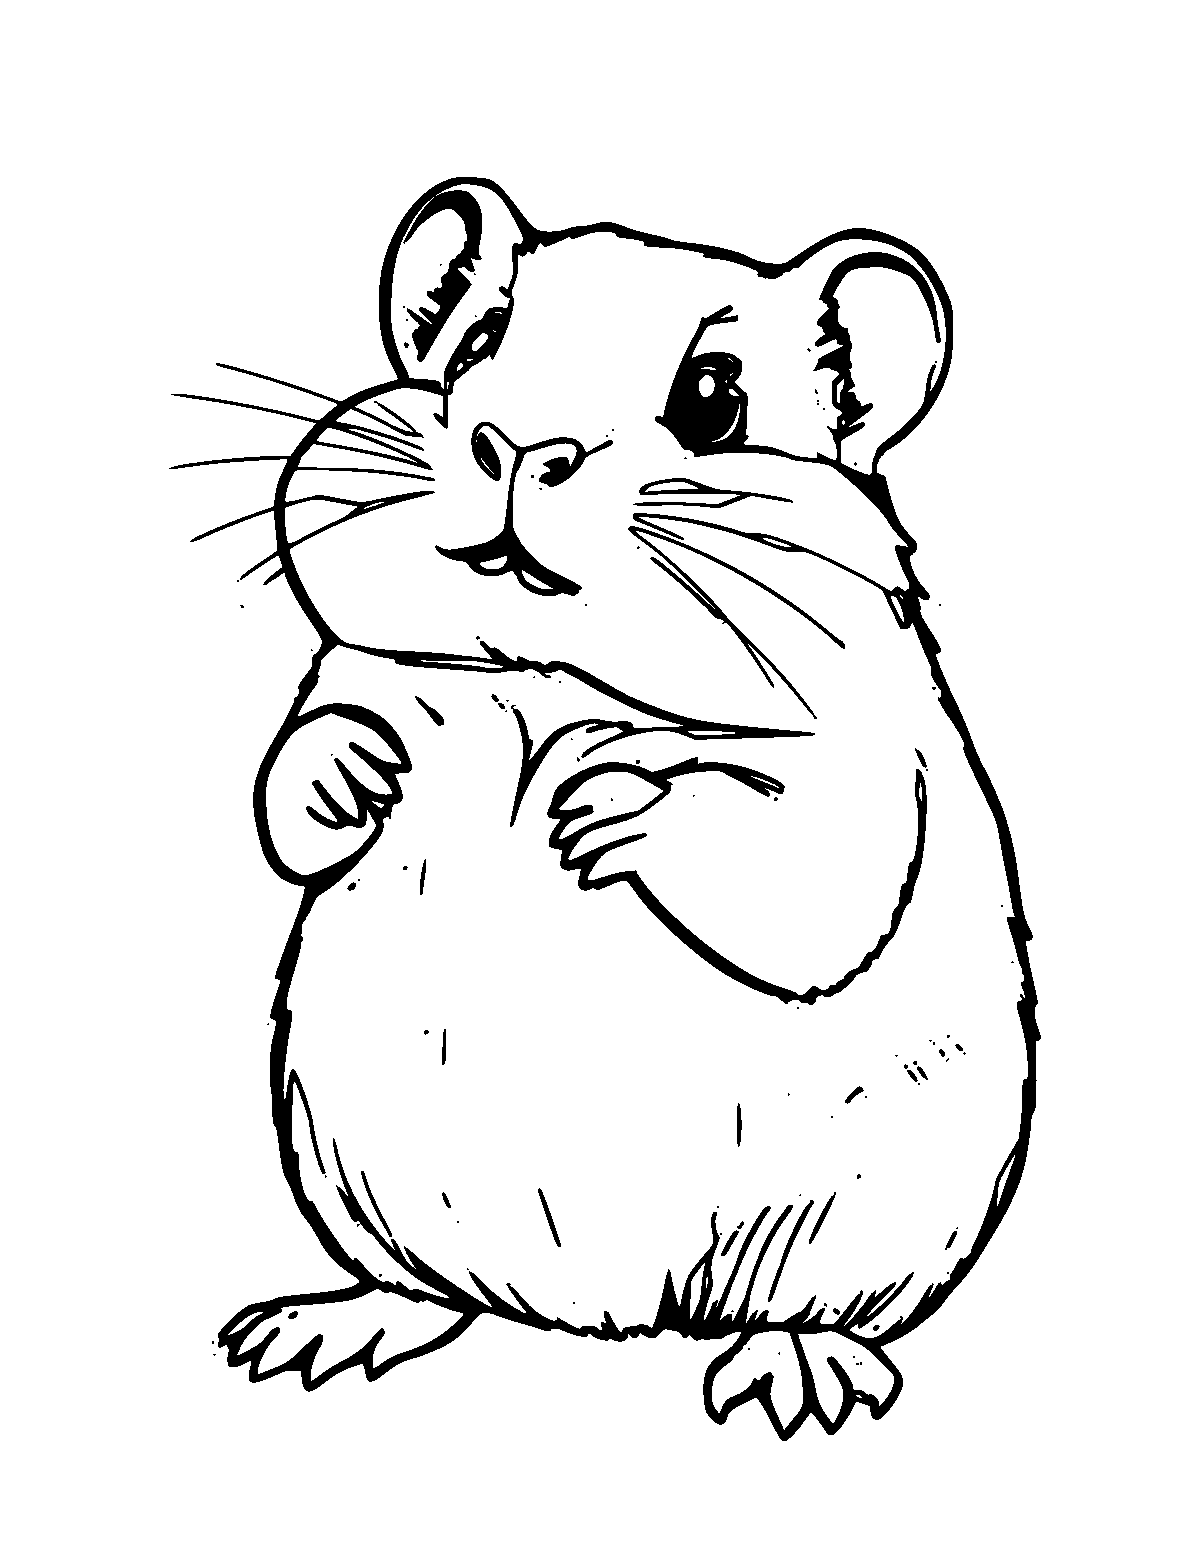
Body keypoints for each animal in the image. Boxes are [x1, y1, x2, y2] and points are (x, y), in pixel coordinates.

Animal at [218, 179, 1037, 1439]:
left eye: (713, 400)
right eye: (478, 345)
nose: (517, 449)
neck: (549, 670)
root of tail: (604, 1317)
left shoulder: (861, 763)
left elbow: (804, 874)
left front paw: (591, 805)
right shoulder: (356, 669)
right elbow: (299, 764)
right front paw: (363, 776)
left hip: (870, 1227)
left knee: (809, 1311)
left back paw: (794, 1379)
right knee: (422, 1286)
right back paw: (312, 1333)